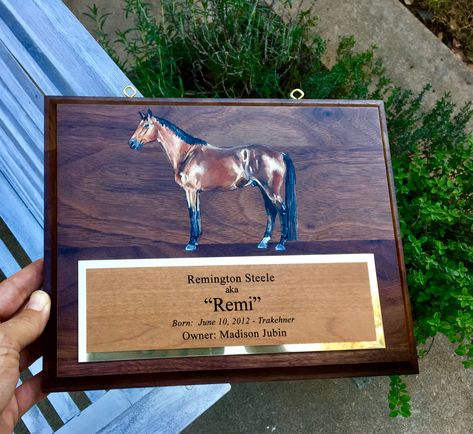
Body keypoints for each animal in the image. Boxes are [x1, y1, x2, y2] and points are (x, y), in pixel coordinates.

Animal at [129, 108, 296, 251]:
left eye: (146, 125)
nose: (131, 143)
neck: (187, 154)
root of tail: (280, 154)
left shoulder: (190, 190)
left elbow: (192, 213)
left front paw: (191, 243)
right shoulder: (196, 192)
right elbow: (197, 213)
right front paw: (196, 240)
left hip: (271, 190)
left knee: (282, 210)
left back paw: (281, 244)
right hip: (263, 189)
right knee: (271, 212)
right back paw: (263, 242)